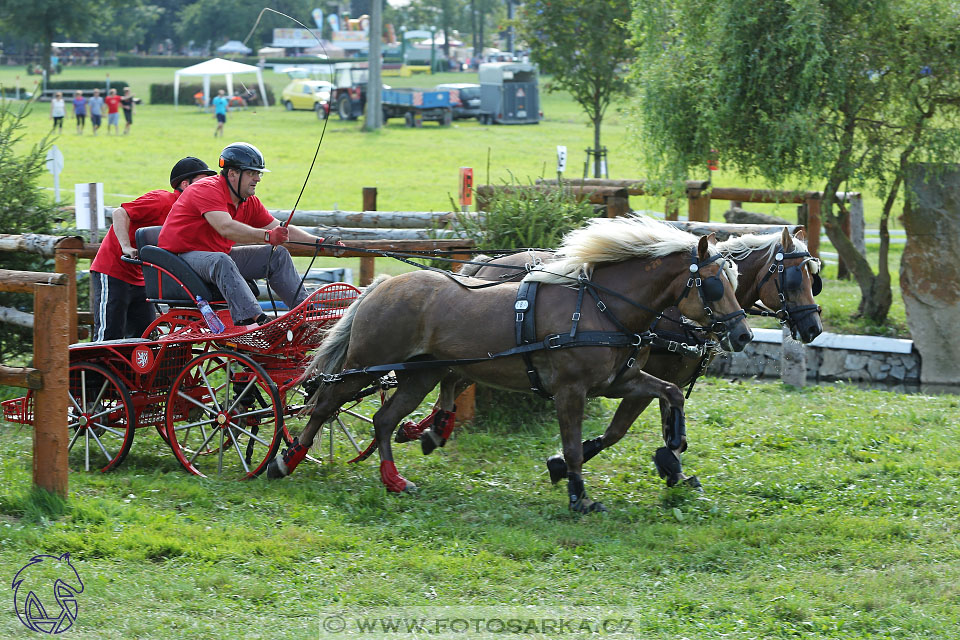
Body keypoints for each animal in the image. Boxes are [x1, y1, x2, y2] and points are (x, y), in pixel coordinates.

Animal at [268, 218, 752, 512]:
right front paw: (578, 496)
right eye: (713, 285)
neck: (601, 308)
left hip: (419, 375)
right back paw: (285, 461)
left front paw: (674, 442)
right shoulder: (571, 391)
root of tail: (381, 286)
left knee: (384, 419)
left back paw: (395, 480)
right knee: (326, 403)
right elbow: (573, 446)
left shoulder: (620, 380)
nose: (743, 335)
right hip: (367, 364)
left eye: (734, 281)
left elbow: (668, 394)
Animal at [412, 228, 816, 488]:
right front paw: (563, 464)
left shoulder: (653, 379)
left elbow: (670, 424)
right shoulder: (644, 379)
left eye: (816, 278)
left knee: (451, 379)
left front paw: (674, 469)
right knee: (450, 379)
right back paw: (426, 429)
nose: (813, 327)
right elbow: (618, 431)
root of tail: (483, 266)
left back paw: (425, 430)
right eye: (795, 280)